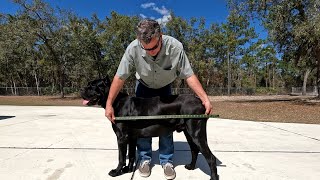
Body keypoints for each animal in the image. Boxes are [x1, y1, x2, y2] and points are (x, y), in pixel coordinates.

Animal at [81, 76, 219, 179]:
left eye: (92, 86)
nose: (82, 90)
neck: (115, 101)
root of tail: (201, 102)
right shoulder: (131, 137)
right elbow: (131, 155)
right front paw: (128, 169)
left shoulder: (121, 137)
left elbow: (121, 157)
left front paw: (116, 171)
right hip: (189, 133)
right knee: (194, 150)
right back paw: (190, 166)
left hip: (196, 133)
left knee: (211, 157)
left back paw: (213, 177)